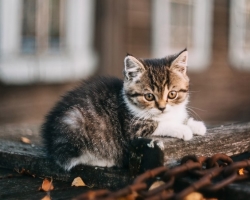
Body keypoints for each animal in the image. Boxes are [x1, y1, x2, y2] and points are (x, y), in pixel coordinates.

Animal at [41, 49, 205, 171]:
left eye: (172, 94)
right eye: (149, 96)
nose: (162, 107)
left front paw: (195, 125)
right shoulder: (133, 128)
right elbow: (158, 124)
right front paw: (182, 129)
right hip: (74, 122)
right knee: (68, 159)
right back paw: (103, 160)